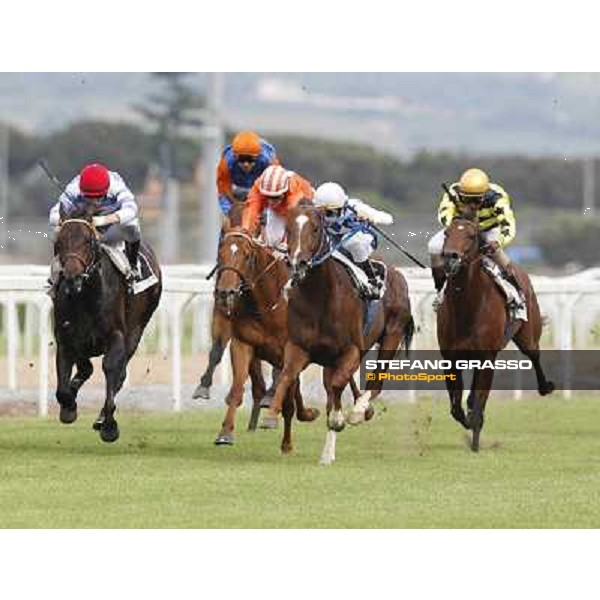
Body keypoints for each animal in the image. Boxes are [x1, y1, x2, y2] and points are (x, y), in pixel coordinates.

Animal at [212, 226, 324, 450]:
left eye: (246, 256)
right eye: (221, 253)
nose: (225, 292)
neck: (265, 305)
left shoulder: (289, 352)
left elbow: (287, 394)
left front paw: (284, 438)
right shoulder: (242, 344)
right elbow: (237, 388)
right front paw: (225, 433)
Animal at [264, 203, 414, 464]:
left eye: (315, 228)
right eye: (288, 228)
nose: (298, 264)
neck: (320, 297)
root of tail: (397, 273)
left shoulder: (351, 350)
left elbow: (336, 386)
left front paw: (341, 417)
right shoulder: (299, 347)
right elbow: (287, 376)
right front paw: (271, 414)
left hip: (391, 336)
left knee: (375, 382)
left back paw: (359, 410)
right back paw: (328, 452)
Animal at [438, 211, 556, 450]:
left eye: (471, 235)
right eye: (446, 232)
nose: (450, 257)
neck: (467, 306)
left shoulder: (488, 357)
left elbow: (479, 400)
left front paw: (475, 438)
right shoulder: (450, 357)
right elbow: (456, 408)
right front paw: (468, 419)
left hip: (528, 334)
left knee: (534, 354)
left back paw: (545, 386)